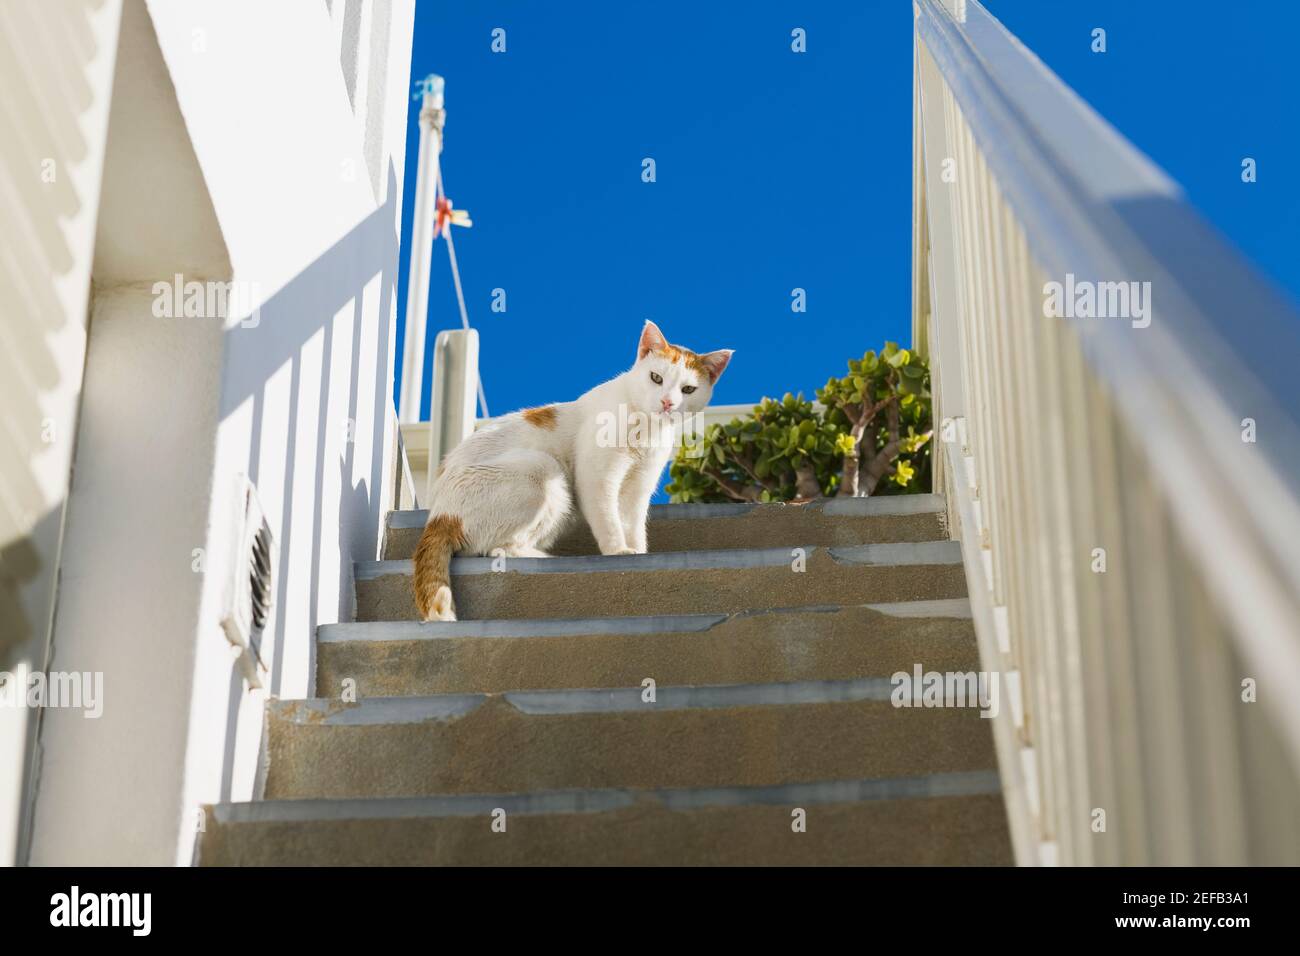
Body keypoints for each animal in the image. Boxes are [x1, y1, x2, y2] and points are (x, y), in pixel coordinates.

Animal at [413, 321, 733, 621]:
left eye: (688, 389)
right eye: (656, 378)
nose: (667, 403)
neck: (646, 429)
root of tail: (438, 516)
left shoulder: (640, 486)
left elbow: (634, 525)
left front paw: (638, 551)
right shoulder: (597, 476)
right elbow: (608, 519)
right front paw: (619, 551)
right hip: (543, 469)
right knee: (495, 549)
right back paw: (542, 557)